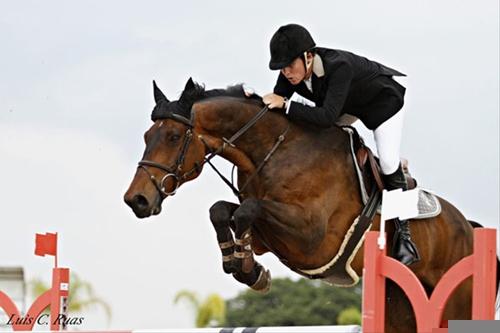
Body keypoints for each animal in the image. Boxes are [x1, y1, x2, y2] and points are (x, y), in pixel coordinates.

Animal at [125, 78, 484, 330]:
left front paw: (247, 268)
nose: (136, 200)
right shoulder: (269, 237)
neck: (276, 151)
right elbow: (223, 210)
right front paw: (245, 266)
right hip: (398, 305)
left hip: (454, 302)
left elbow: (248, 209)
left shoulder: (311, 240)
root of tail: (470, 228)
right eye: (146, 137)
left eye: (173, 137)